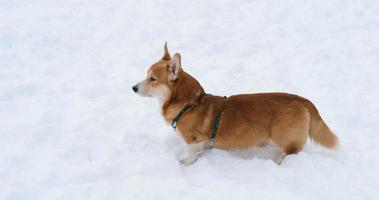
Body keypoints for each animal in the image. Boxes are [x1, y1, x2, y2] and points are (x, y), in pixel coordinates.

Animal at [133, 43, 338, 165]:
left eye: (152, 79)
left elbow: (191, 154)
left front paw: (185, 162)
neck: (189, 103)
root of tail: (302, 100)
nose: (133, 88)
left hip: (284, 139)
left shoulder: (193, 140)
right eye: (146, 75)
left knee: (291, 152)